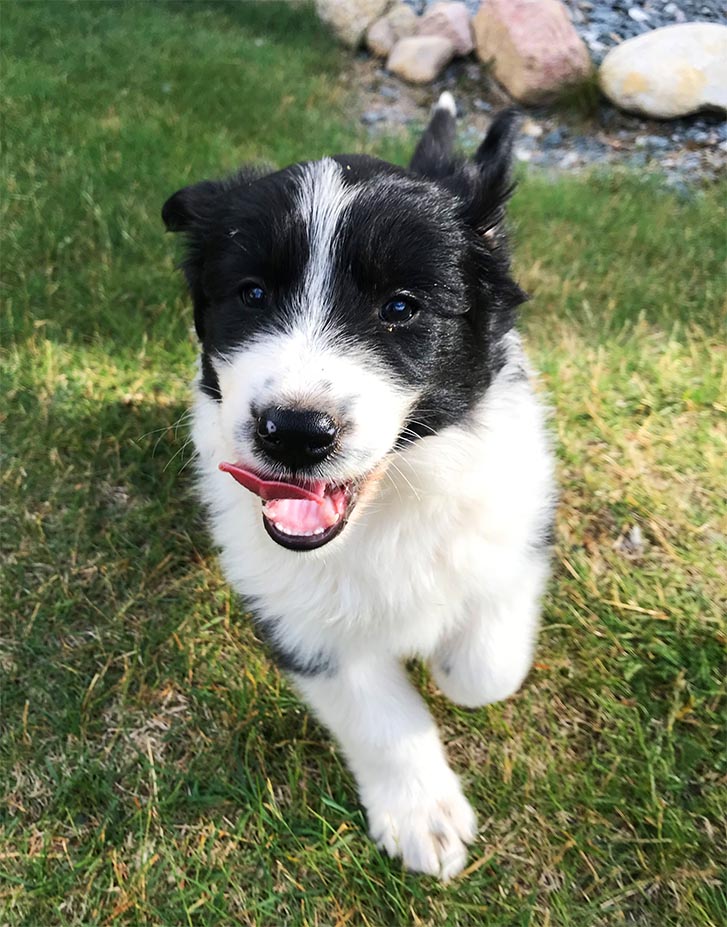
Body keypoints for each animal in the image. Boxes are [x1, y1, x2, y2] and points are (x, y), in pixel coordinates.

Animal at [162, 96, 556, 884]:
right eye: (252, 294)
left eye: (401, 307)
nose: (292, 432)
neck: (387, 503)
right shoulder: (293, 612)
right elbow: (376, 715)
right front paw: (422, 815)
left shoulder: (519, 514)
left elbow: (485, 669)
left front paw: (446, 657)